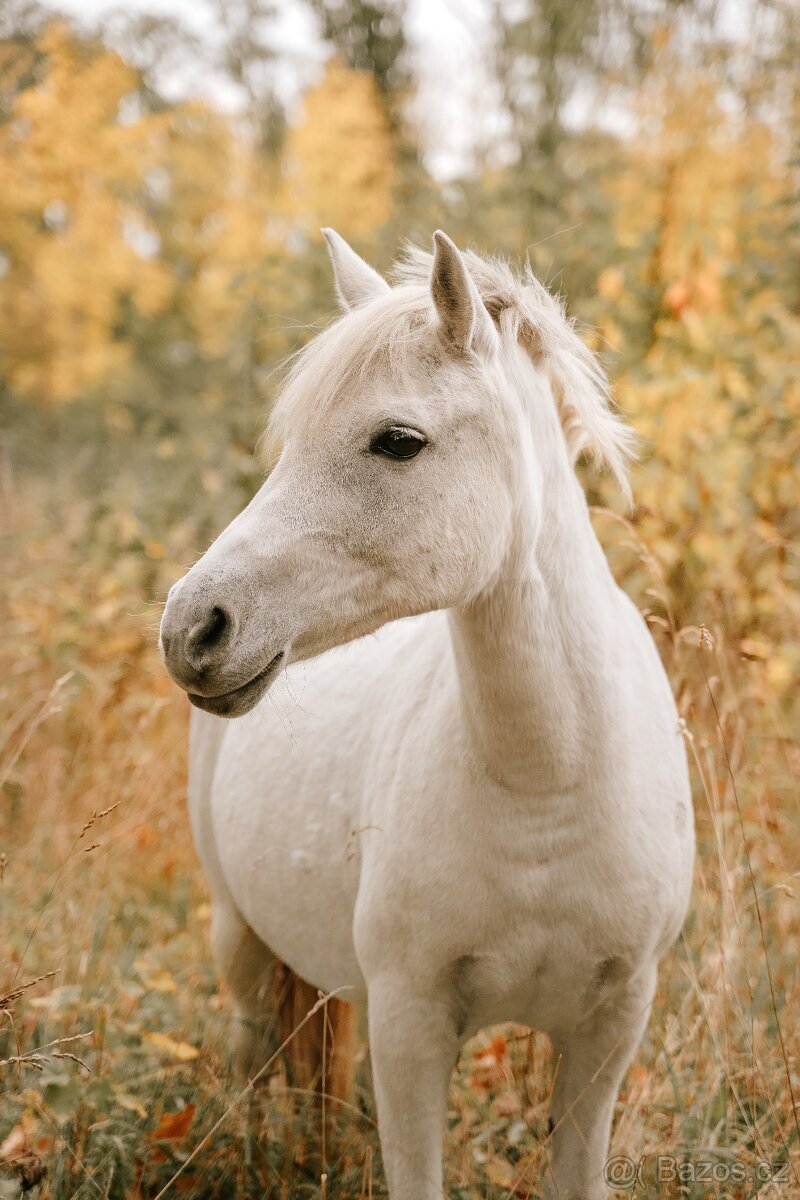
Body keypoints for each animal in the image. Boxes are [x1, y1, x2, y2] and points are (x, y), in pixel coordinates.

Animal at [159, 229, 695, 1200]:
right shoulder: (409, 1026)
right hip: (240, 939)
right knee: (254, 1059)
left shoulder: (611, 1027)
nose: (193, 628)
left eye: (398, 442)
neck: (546, 784)